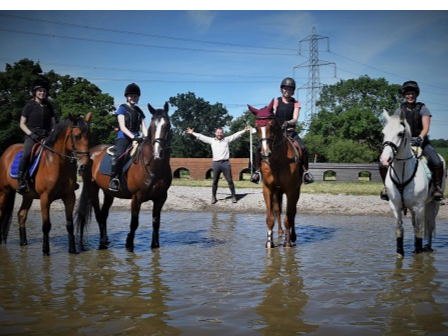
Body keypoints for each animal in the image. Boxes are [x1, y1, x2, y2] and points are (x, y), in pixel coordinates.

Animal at [0, 113, 92, 255]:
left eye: (89, 135)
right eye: (77, 136)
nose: (85, 166)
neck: (57, 163)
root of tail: (7, 151)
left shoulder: (69, 197)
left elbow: (69, 224)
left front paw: (72, 250)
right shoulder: (45, 198)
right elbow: (46, 225)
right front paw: (45, 251)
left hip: (27, 195)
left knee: (21, 214)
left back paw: (23, 242)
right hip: (4, 191)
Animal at [74, 102, 172, 252]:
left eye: (167, 124)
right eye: (153, 125)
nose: (158, 152)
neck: (154, 167)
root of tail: (91, 152)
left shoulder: (161, 197)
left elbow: (156, 222)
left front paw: (155, 245)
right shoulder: (136, 197)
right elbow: (134, 223)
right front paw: (129, 245)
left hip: (108, 192)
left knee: (104, 214)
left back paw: (106, 240)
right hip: (92, 188)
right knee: (98, 214)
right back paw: (102, 243)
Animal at [247, 98, 302, 248]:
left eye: (271, 126)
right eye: (257, 127)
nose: (265, 153)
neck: (277, 159)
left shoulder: (290, 190)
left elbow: (289, 216)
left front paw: (287, 243)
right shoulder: (268, 189)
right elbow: (270, 217)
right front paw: (269, 242)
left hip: (296, 190)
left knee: (293, 212)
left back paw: (292, 236)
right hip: (278, 192)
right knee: (278, 210)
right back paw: (280, 233)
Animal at [380, 109, 446, 258]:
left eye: (400, 133)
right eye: (383, 133)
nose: (384, 159)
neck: (402, 173)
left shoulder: (419, 207)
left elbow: (419, 231)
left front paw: (418, 254)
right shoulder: (395, 206)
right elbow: (399, 230)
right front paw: (400, 255)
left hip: (433, 203)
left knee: (430, 224)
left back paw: (427, 248)